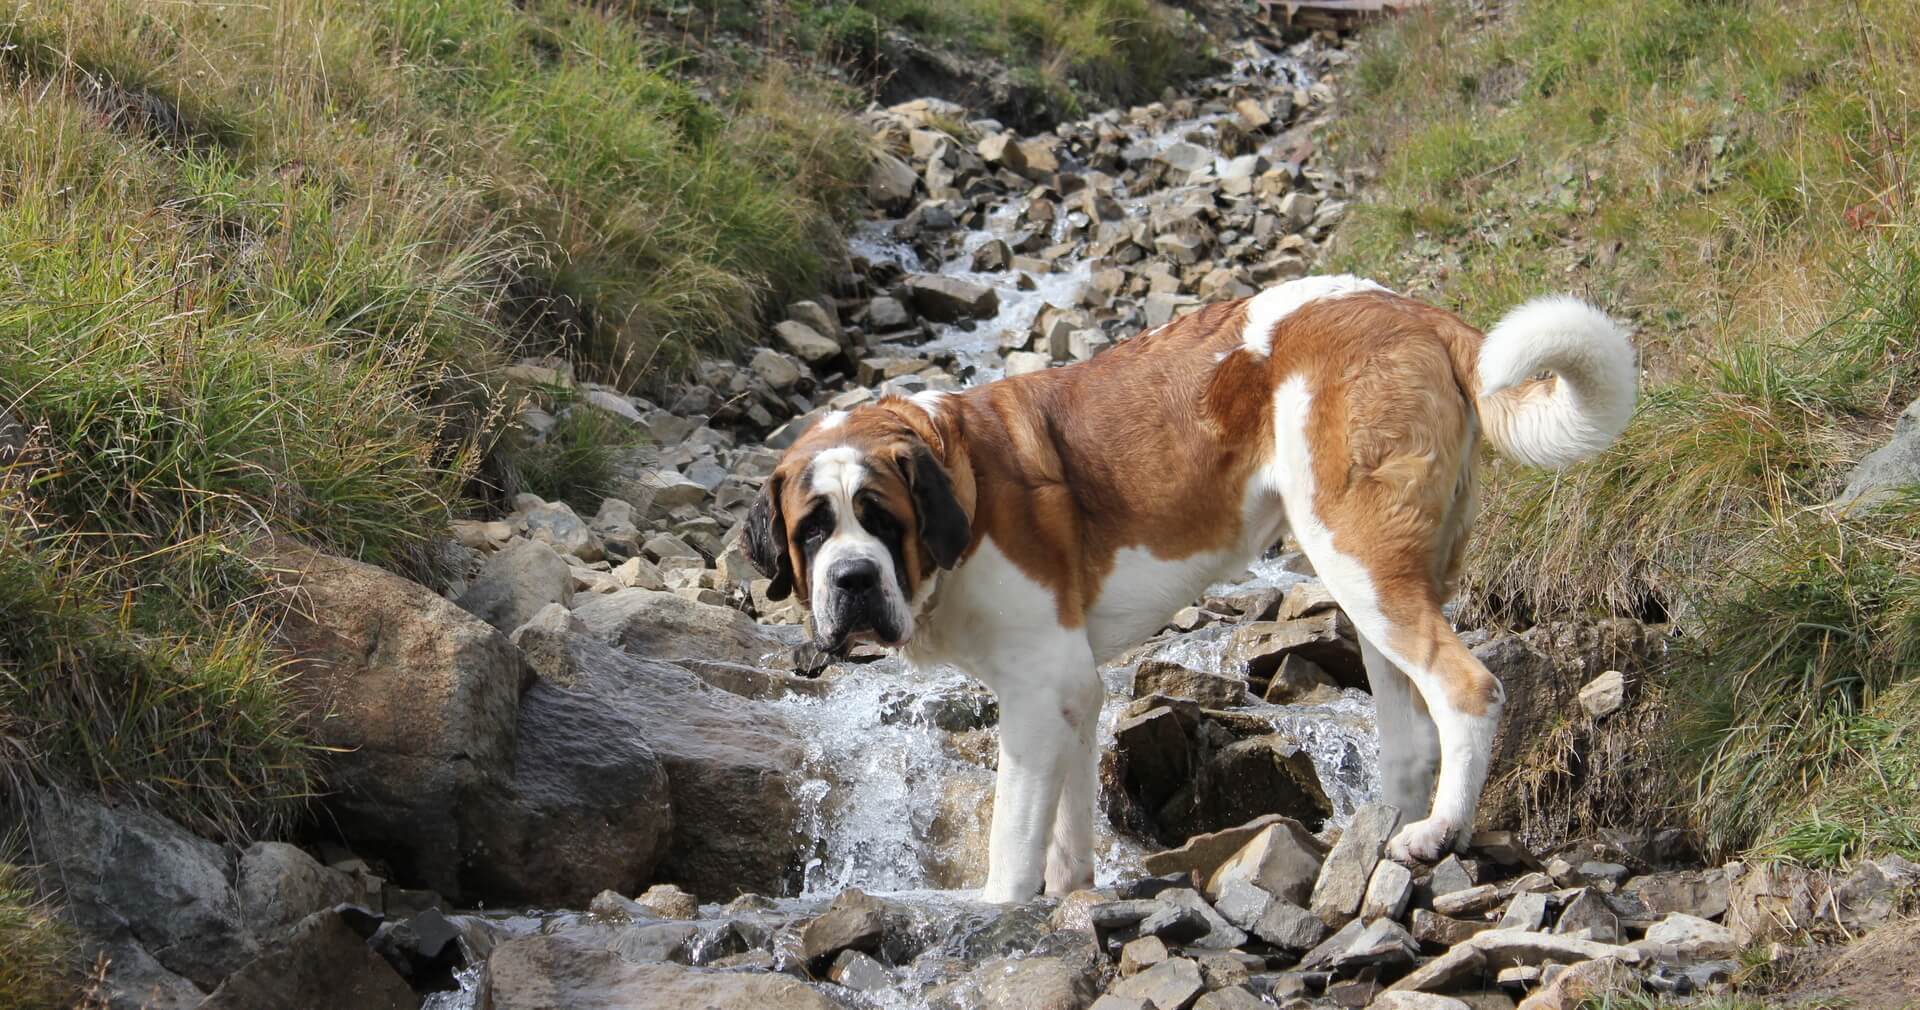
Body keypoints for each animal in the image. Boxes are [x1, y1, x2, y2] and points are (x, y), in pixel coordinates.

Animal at [744, 274, 1635, 902]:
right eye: (812, 531)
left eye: (879, 518)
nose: (852, 578)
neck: (957, 481)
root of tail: (1412, 311)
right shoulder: (1072, 692)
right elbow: (1065, 817)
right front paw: (1072, 893)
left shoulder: (1038, 687)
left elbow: (1013, 833)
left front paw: (1001, 911)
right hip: (1372, 580)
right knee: (1411, 731)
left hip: (1358, 553)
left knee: (1468, 688)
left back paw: (1438, 833)